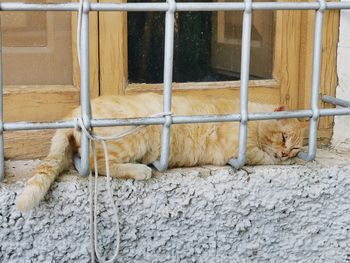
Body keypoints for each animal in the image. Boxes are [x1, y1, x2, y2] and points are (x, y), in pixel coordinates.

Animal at [15, 93, 306, 212]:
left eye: (293, 147)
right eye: (283, 138)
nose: (285, 154)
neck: (252, 117)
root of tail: (75, 113)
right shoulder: (239, 149)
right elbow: (261, 156)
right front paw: (280, 162)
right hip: (132, 138)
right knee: (97, 163)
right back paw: (140, 170)